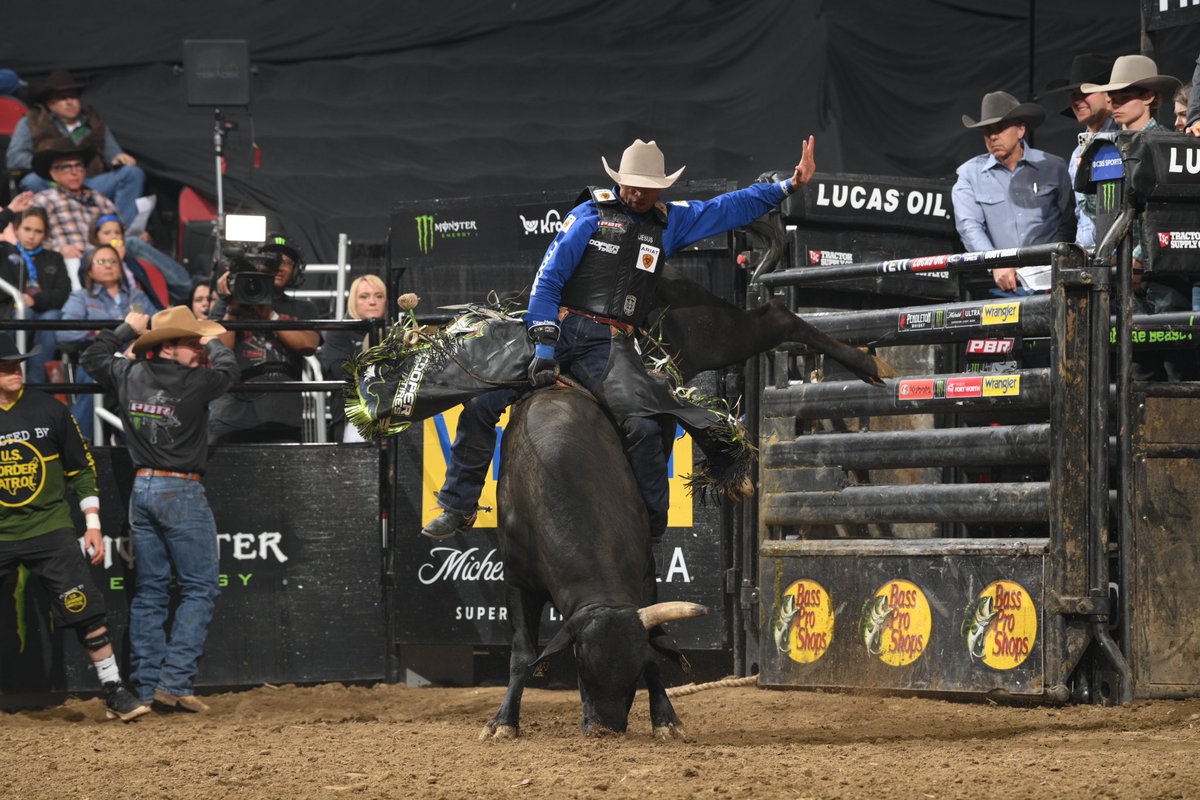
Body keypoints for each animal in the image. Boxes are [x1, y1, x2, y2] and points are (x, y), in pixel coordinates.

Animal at [477, 268, 892, 738]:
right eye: (582, 666)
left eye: (633, 670)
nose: (605, 729)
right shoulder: (517, 579)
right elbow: (522, 654)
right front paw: (503, 722)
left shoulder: (645, 571)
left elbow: (659, 644)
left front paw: (666, 719)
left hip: (708, 333)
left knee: (775, 317)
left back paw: (867, 365)